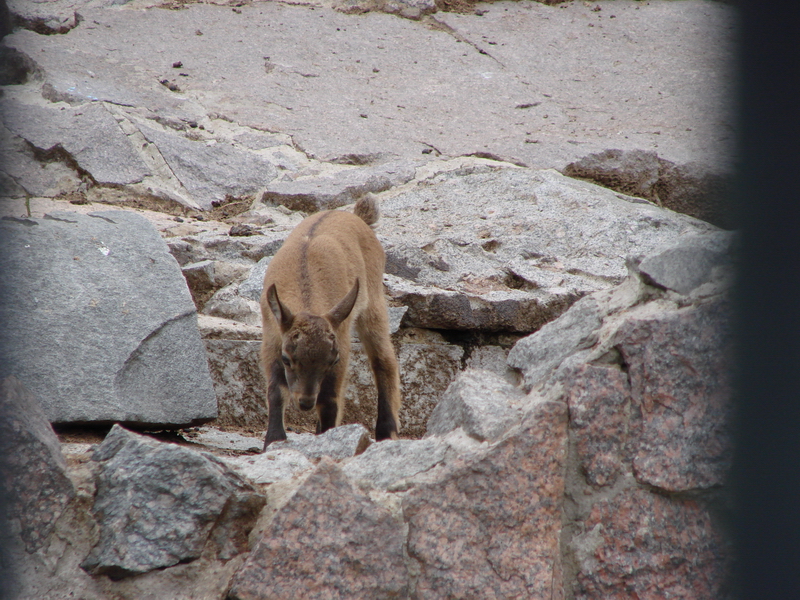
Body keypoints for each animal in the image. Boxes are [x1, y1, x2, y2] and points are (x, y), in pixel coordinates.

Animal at [259, 195, 401, 450]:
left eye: (332, 360)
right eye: (287, 359)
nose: (305, 402)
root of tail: (355, 216)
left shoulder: (341, 340)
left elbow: (330, 398)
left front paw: (328, 438)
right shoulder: (271, 337)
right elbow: (275, 390)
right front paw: (273, 440)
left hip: (373, 304)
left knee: (384, 361)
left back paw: (387, 431)